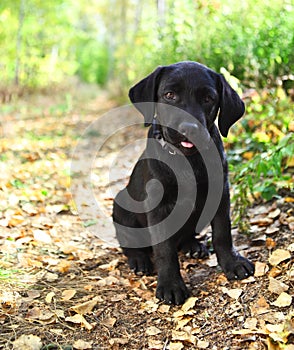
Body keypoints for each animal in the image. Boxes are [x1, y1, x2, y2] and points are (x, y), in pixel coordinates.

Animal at [112, 61, 255, 304]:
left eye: (208, 98)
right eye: (169, 95)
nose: (189, 128)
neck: (188, 158)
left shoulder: (220, 194)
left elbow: (222, 233)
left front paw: (232, 262)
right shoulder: (158, 207)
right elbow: (164, 249)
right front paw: (170, 284)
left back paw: (193, 245)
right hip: (121, 204)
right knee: (130, 244)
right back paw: (139, 260)